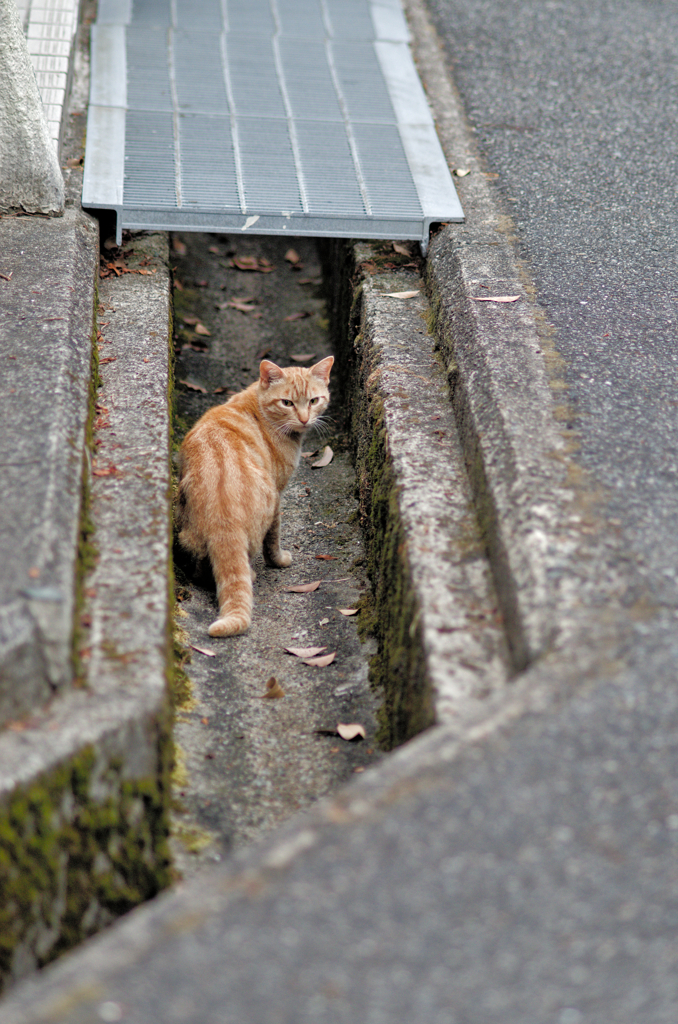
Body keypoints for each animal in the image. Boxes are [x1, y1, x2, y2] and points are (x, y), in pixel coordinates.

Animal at [176, 358, 333, 630]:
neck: (258, 405)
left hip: (186, 529)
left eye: (314, 400)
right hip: (267, 503)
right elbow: (274, 538)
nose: (304, 419)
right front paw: (279, 560)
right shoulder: (279, 493)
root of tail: (223, 517)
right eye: (287, 403)